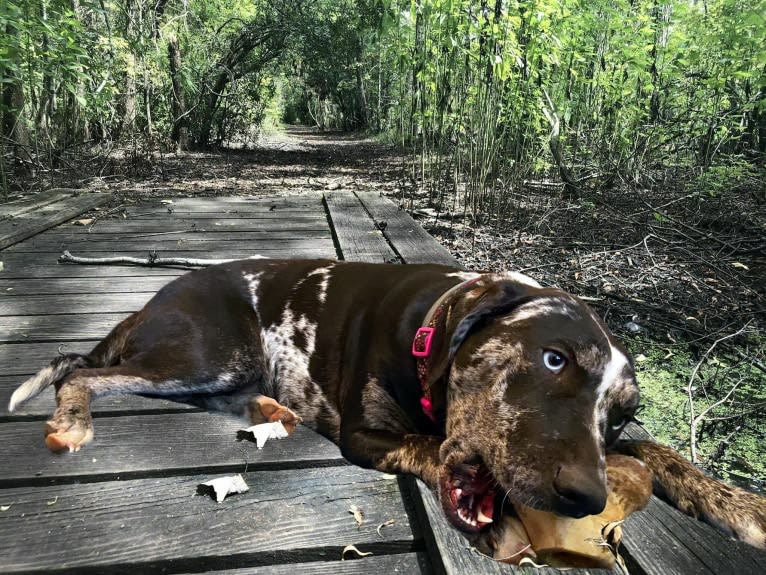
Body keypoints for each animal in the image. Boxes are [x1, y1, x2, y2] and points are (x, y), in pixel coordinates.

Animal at [7, 260, 766, 548]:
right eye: (554, 358)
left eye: (622, 412)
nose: (585, 496)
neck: (433, 324)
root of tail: (149, 303)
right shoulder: (368, 434)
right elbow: (429, 446)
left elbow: (660, 451)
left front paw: (740, 504)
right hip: (210, 351)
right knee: (81, 373)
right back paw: (71, 420)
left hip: (223, 367)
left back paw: (271, 411)